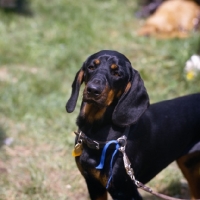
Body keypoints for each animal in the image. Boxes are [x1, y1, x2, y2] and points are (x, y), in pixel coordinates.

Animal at [66, 50, 200, 200]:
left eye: (117, 73)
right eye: (91, 67)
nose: (93, 90)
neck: (95, 132)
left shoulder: (126, 191)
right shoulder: (94, 185)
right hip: (188, 164)